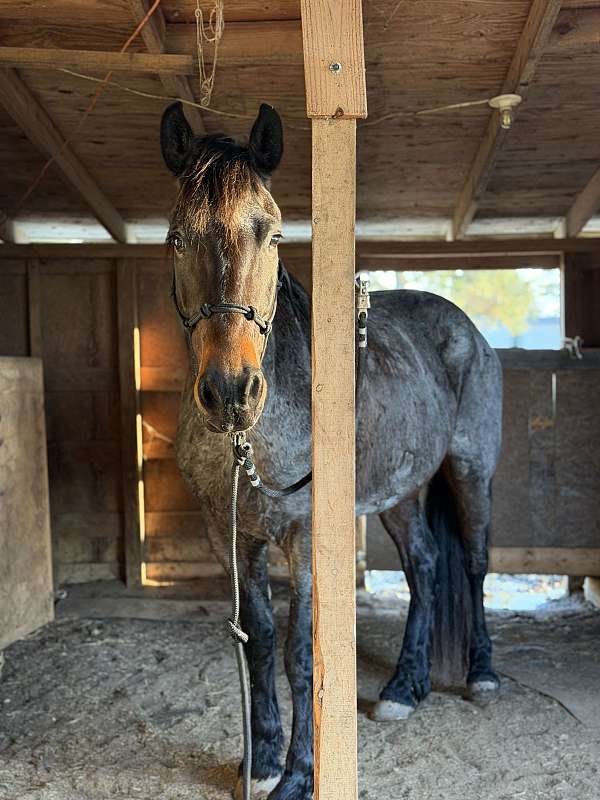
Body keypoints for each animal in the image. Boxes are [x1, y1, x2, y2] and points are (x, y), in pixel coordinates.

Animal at [160, 101, 503, 800]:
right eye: (177, 238)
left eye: (272, 235)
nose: (231, 391)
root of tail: (465, 329)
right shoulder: (231, 534)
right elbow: (260, 640)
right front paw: (261, 761)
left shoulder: (309, 537)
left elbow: (300, 653)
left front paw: (299, 775)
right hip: (400, 495)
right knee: (425, 566)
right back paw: (404, 689)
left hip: (470, 471)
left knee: (475, 562)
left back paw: (480, 675)